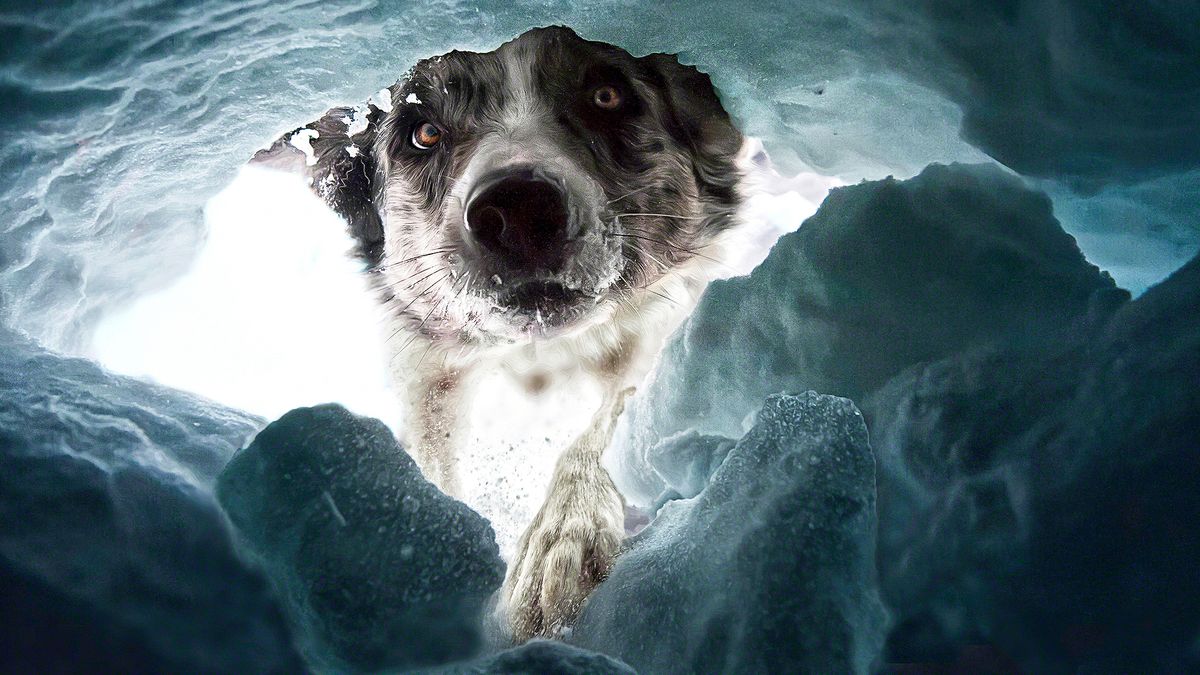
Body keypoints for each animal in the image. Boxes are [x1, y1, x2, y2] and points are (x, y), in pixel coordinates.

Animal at [254, 24, 748, 634]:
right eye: (424, 132)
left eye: (606, 96)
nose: (518, 211)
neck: (539, 357)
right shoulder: (432, 380)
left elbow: (609, 416)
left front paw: (560, 535)